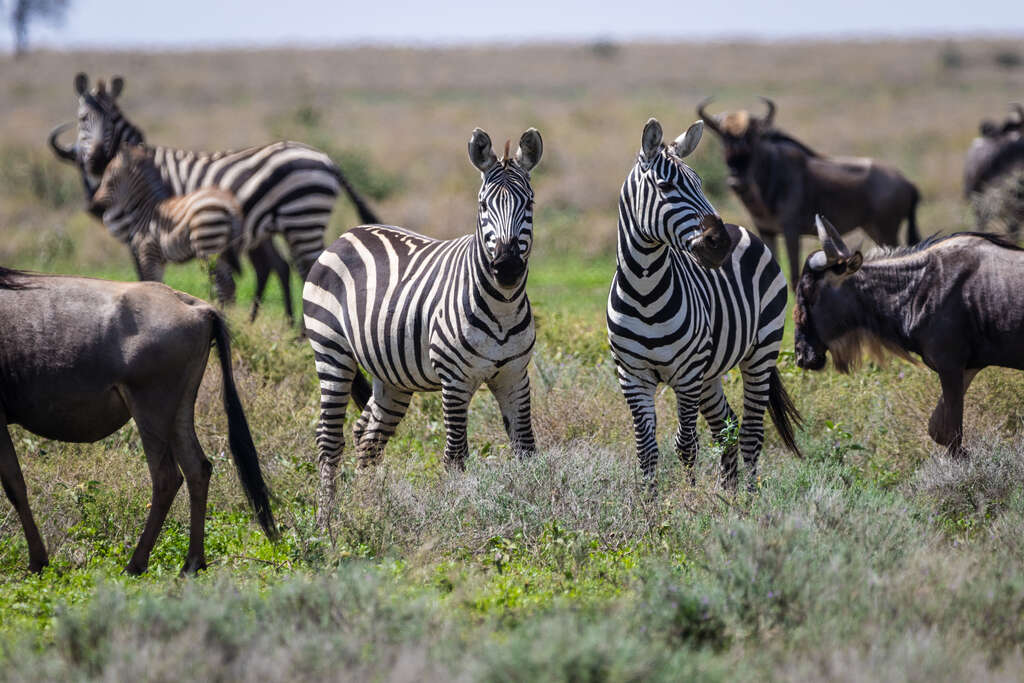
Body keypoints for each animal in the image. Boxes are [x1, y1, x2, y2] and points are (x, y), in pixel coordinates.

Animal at [90, 145, 245, 303]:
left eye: (108, 177)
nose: (94, 204)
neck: (146, 209)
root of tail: (229, 204)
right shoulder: (159, 259)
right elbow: (159, 282)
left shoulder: (148, 252)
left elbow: (151, 281)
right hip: (225, 248)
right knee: (229, 285)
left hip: (208, 243)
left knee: (224, 284)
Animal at [299, 126, 544, 524]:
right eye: (483, 206)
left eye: (530, 204)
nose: (507, 267)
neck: (502, 306)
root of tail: (348, 234)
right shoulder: (455, 380)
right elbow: (456, 456)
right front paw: (460, 517)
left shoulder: (514, 376)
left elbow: (526, 450)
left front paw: (531, 512)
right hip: (331, 351)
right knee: (329, 438)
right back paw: (325, 521)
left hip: (390, 375)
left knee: (368, 439)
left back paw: (368, 510)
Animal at [602, 118, 802, 491]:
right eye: (666, 186)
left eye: (699, 183)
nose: (719, 244)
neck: (644, 290)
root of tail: (741, 228)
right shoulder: (632, 375)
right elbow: (646, 449)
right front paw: (649, 503)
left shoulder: (687, 373)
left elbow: (685, 444)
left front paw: (689, 498)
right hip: (711, 373)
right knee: (727, 426)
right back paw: (728, 493)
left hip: (761, 352)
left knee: (751, 433)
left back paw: (748, 498)